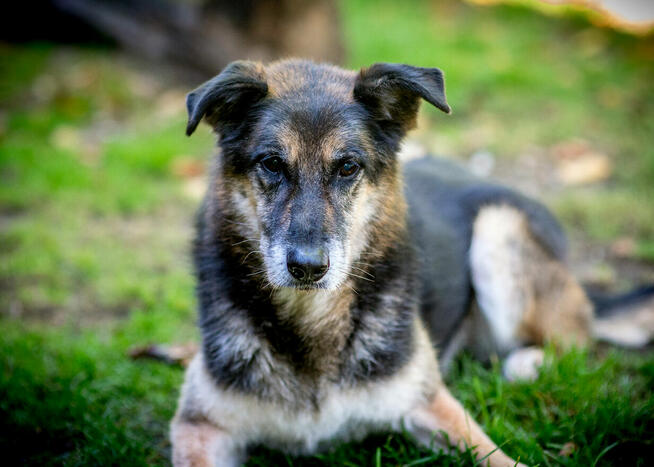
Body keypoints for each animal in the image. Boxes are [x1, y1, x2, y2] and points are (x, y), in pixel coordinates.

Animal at [172, 59, 652, 467]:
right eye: (271, 163)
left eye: (348, 167)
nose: (307, 268)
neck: (313, 321)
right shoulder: (200, 426)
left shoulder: (429, 403)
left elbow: (499, 458)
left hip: (497, 228)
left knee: (577, 337)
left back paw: (526, 362)